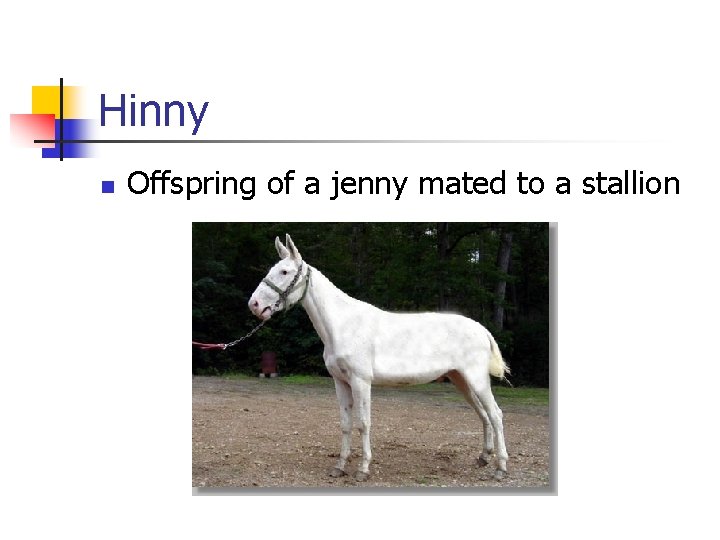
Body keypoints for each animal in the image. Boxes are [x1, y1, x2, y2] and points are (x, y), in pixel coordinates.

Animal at [248, 234, 510, 481]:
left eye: (284, 271)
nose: (255, 305)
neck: (343, 324)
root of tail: (481, 329)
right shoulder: (340, 382)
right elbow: (345, 423)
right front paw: (339, 467)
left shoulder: (361, 381)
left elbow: (363, 423)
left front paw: (363, 469)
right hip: (461, 380)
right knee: (483, 414)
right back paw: (483, 457)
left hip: (476, 380)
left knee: (495, 414)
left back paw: (501, 468)